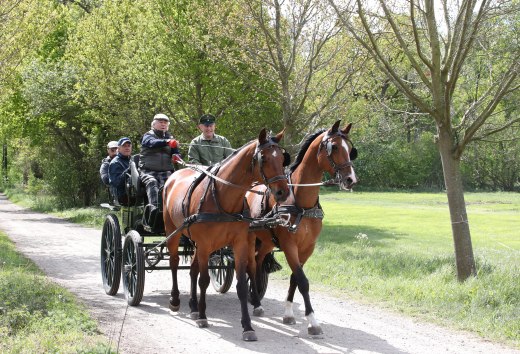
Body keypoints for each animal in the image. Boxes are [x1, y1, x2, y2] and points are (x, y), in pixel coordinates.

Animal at [164, 129, 288, 342]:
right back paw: (175, 300)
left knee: (193, 270)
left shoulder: (239, 244)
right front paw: (203, 317)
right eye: (263, 158)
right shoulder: (205, 244)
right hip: (173, 232)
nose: (283, 192)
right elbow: (204, 280)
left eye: (281, 157)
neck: (222, 197)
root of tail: (175, 175)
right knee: (174, 263)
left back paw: (193, 306)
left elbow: (241, 285)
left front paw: (247, 327)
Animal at [246, 120, 356, 336]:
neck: (301, 204)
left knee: (258, 262)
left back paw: (255, 299)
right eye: (334, 147)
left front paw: (289, 313)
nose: (350, 179)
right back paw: (255, 302)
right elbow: (303, 281)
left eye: (350, 149)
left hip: (266, 241)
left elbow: (294, 279)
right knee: (250, 265)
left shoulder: (307, 248)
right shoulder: (290, 245)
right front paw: (312, 321)